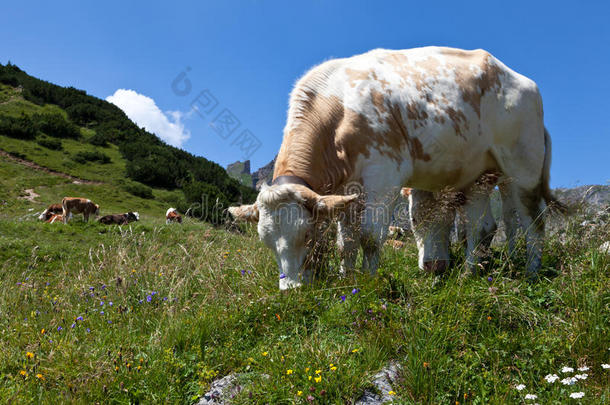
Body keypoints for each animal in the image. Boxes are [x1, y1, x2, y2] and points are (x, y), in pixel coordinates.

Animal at [229, 46, 560, 288]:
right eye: (267, 242)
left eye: (307, 235)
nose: (292, 290)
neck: (337, 106)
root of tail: (522, 80)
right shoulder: (345, 192)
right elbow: (346, 242)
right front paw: (346, 277)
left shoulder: (383, 178)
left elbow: (369, 237)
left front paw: (369, 282)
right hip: (483, 175)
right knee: (488, 224)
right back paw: (476, 271)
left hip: (523, 168)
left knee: (531, 223)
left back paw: (529, 272)